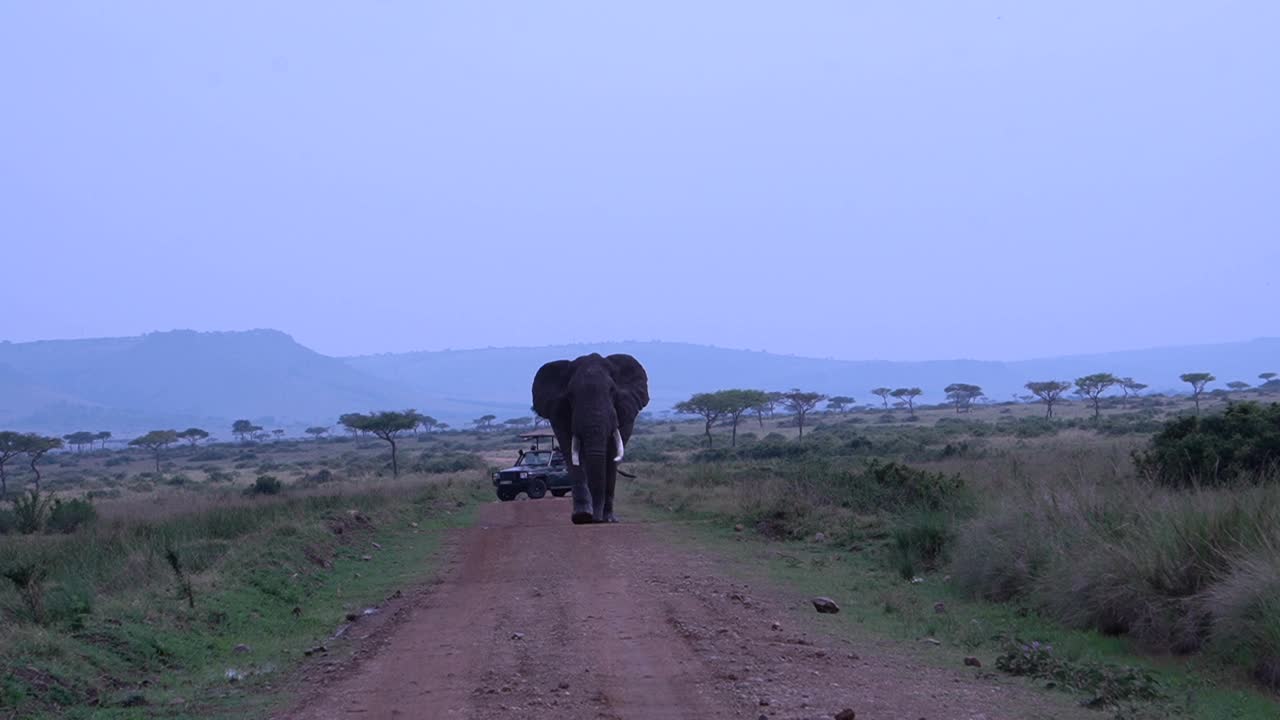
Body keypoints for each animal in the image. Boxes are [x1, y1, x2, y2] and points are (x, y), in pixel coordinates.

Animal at [532, 351, 650, 520]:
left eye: (612, 391)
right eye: (570, 395)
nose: (596, 519)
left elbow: (611, 455)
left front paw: (605, 519)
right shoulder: (558, 412)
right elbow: (571, 453)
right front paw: (582, 516)